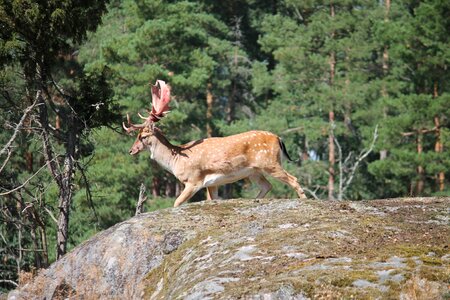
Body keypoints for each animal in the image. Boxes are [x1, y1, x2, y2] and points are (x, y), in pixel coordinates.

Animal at [122, 79, 306, 207]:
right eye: (137, 135)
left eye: (143, 136)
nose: (131, 150)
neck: (176, 160)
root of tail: (278, 139)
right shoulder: (212, 183)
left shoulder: (194, 180)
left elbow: (176, 203)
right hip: (254, 171)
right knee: (267, 186)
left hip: (270, 162)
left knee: (293, 179)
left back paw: (304, 200)